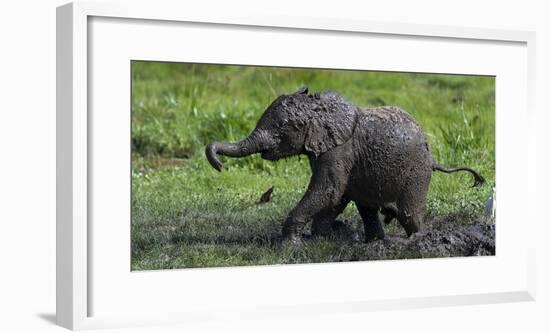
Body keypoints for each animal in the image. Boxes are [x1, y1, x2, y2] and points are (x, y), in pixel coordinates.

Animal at [205, 85, 486, 241]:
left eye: (285, 127)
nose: (219, 165)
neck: (317, 108)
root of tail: (432, 156)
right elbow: (335, 196)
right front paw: (324, 236)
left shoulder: (340, 150)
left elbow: (330, 191)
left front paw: (289, 245)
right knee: (367, 208)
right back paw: (374, 242)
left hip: (416, 172)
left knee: (409, 214)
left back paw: (415, 241)